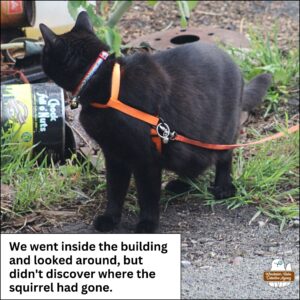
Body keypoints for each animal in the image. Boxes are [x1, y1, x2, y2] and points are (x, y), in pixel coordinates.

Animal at [39, 11, 272, 232]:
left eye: (44, 52)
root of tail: (235, 66)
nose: (39, 60)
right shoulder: (114, 154)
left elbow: (147, 195)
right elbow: (114, 190)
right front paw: (110, 219)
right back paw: (180, 185)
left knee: (224, 157)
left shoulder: (145, 159)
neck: (105, 82)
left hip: (222, 132)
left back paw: (223, 187)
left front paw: (147, 224)